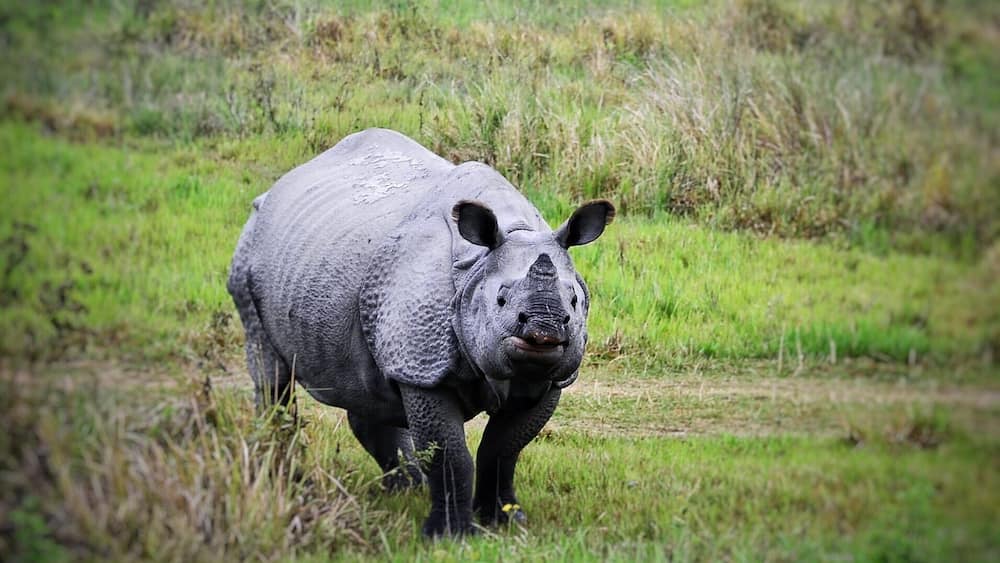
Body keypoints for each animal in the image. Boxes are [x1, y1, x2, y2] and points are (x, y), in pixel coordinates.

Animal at [227, 128, 613, 536]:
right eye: (501, 299)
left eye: (574, 301)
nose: (544, 332)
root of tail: (279, 185)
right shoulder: (421, 367)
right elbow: (449, 454)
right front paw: (450, 535)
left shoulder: (547, 378)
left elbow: (503, 449)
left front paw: (507, 521)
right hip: (249, 254)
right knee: (271, 376)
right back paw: (282, 477)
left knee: (365, 386)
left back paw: (404, 489)